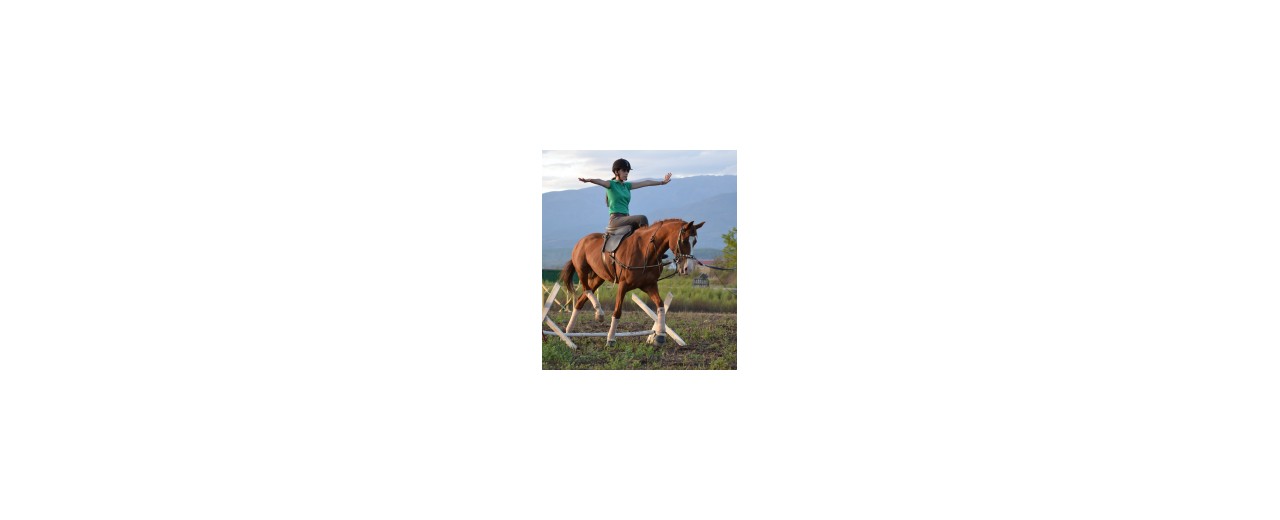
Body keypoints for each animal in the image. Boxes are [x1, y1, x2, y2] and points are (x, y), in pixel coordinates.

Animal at [558, 219, 705, 346]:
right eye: (684, 240)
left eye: (695, 241)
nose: (688, 268)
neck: (646, 252)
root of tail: (582, 241)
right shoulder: (623, 285)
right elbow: (617, 311)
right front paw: (610, 339)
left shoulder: (649, 285)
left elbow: (660, 305)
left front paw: (660, 336)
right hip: (582, 271)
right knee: (586, 290)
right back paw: (598, 314)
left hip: (599, 277)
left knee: (580, 300)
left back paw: (568, 332)